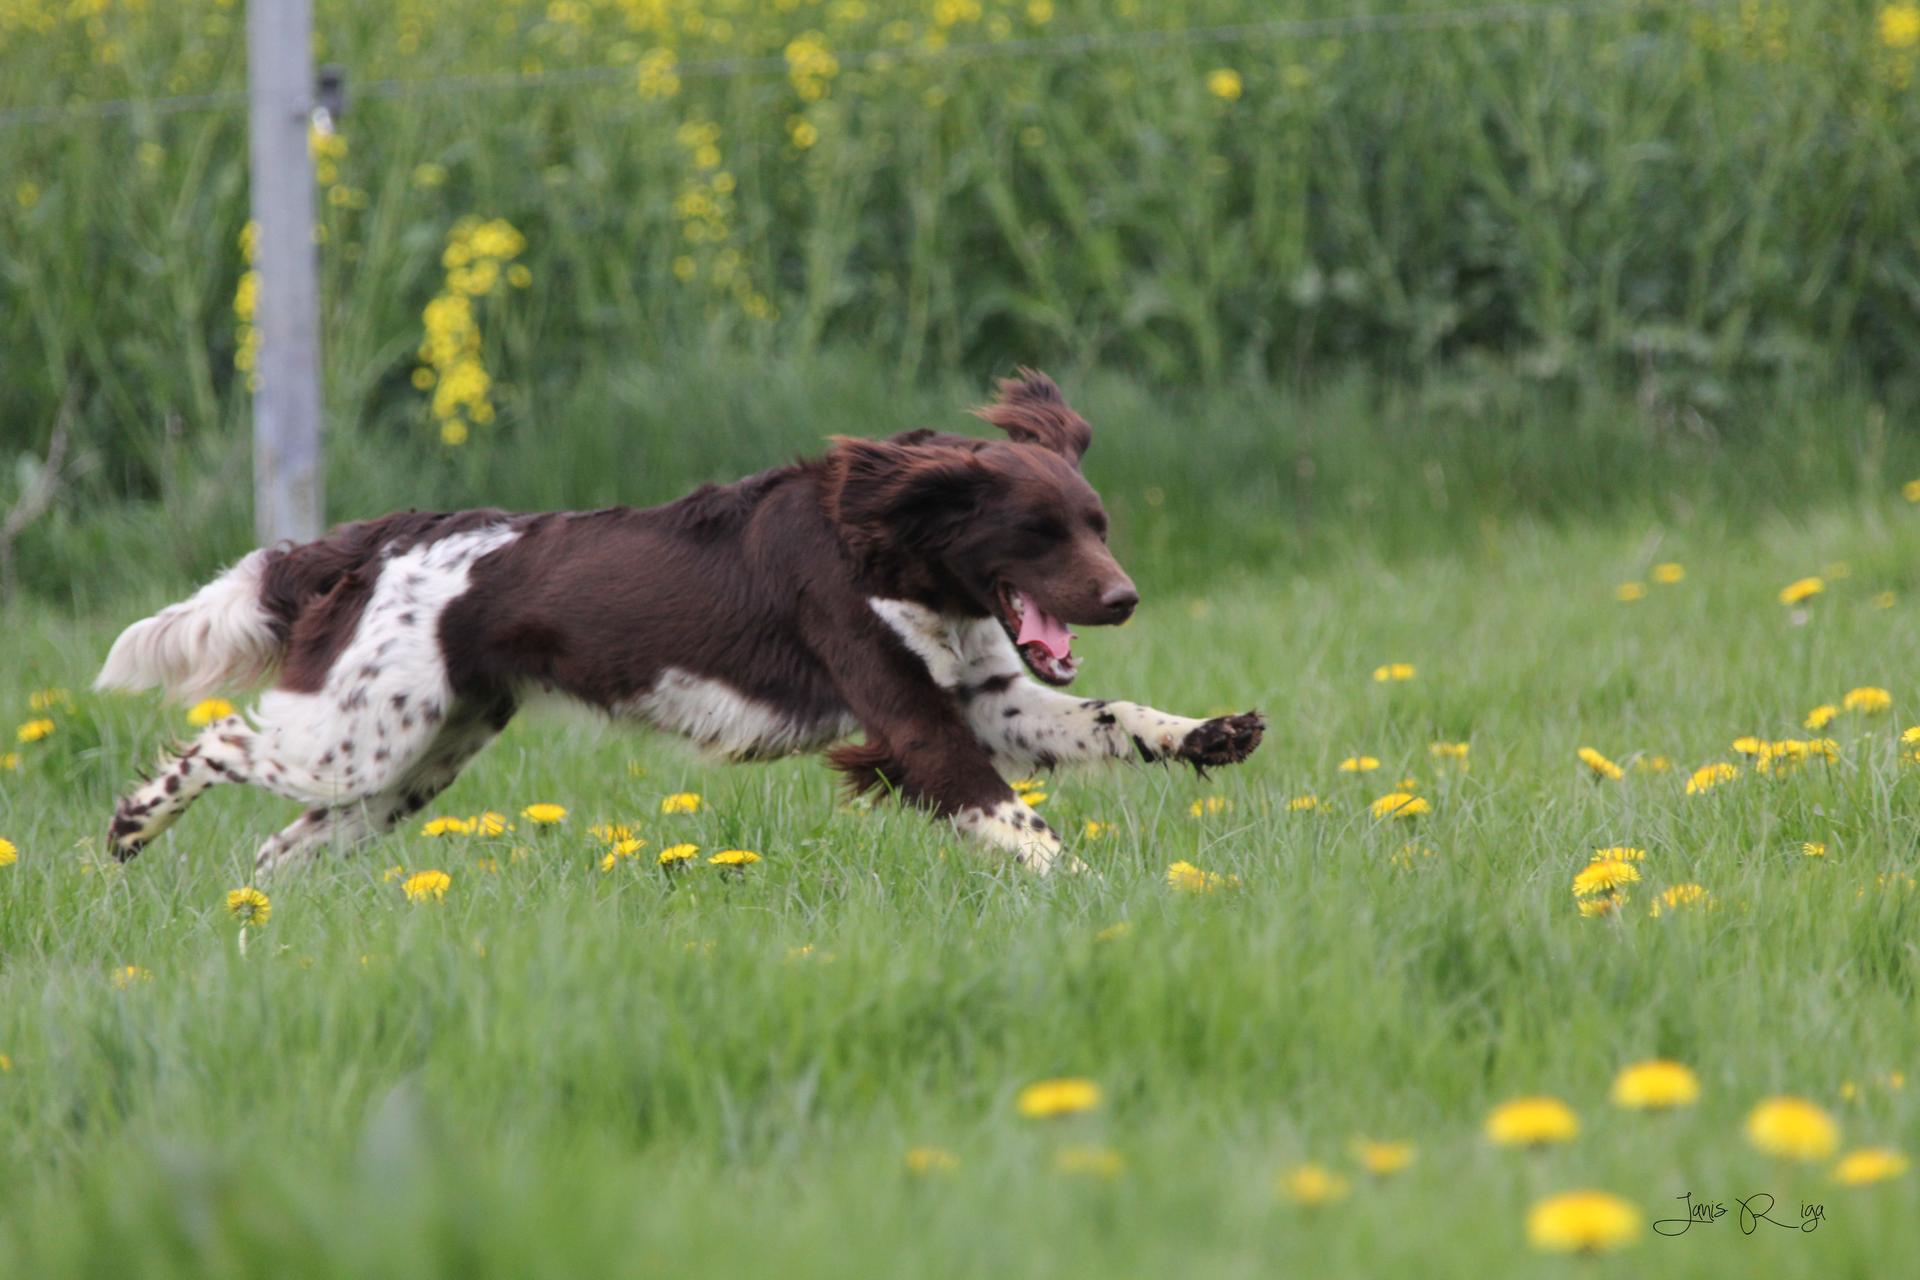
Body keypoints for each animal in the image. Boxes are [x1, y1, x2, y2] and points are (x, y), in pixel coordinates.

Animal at [97, 370, 1259, 871]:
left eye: (1097, 523)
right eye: (1037, 531)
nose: (1124, 598)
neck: (887, 546)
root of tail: (369, 542)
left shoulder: (990, 695)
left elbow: (1110, 717)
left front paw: (1211, 733)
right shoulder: (915, 721)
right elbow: (1024, 823)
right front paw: (1097, 900)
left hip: (417, 756)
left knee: (283, 843)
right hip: (356, 736)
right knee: (220, 739)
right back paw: (132, 827)